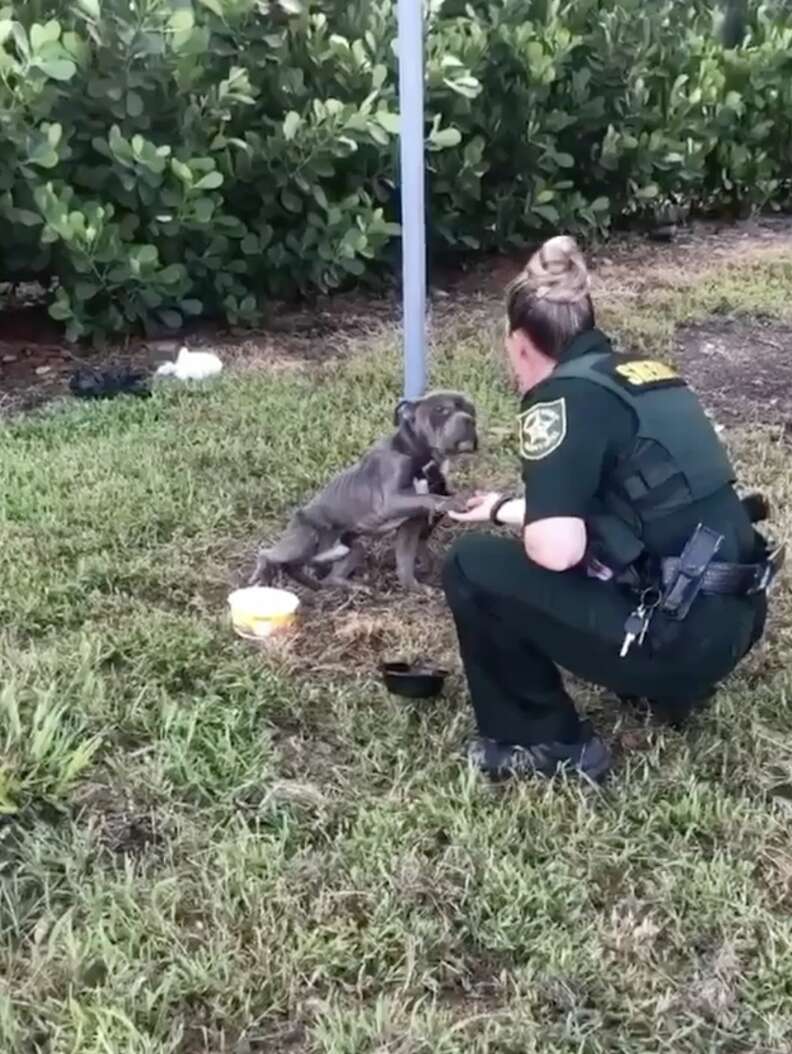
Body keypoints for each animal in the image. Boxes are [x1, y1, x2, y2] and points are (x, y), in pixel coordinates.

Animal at [248, 396, 476, 594]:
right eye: (441, 409)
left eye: (470, 409)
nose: (470, 420)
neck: (418, 455)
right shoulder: (390, 501)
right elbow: (428, 498)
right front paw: (453, 501)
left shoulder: (410, 525)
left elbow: (406, 562)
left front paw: (416, 586)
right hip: (304, 539)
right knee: (268, 554)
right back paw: (264, 574)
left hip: (351, 549)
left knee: (320, 575)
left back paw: (342, 586)